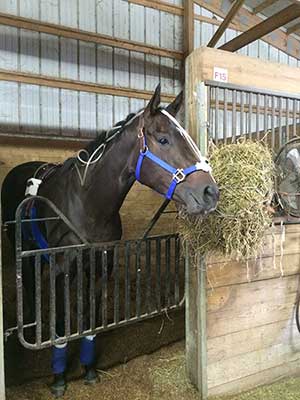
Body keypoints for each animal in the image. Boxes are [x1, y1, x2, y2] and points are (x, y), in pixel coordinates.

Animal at [1, 83, 219, 396]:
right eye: (163, 139)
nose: (210, 193)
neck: (86, 204)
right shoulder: (59, 271)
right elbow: (60, 326)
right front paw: (59, 378)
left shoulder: (101, 268)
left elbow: (90, 320)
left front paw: (89, 370)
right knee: (30, 285)